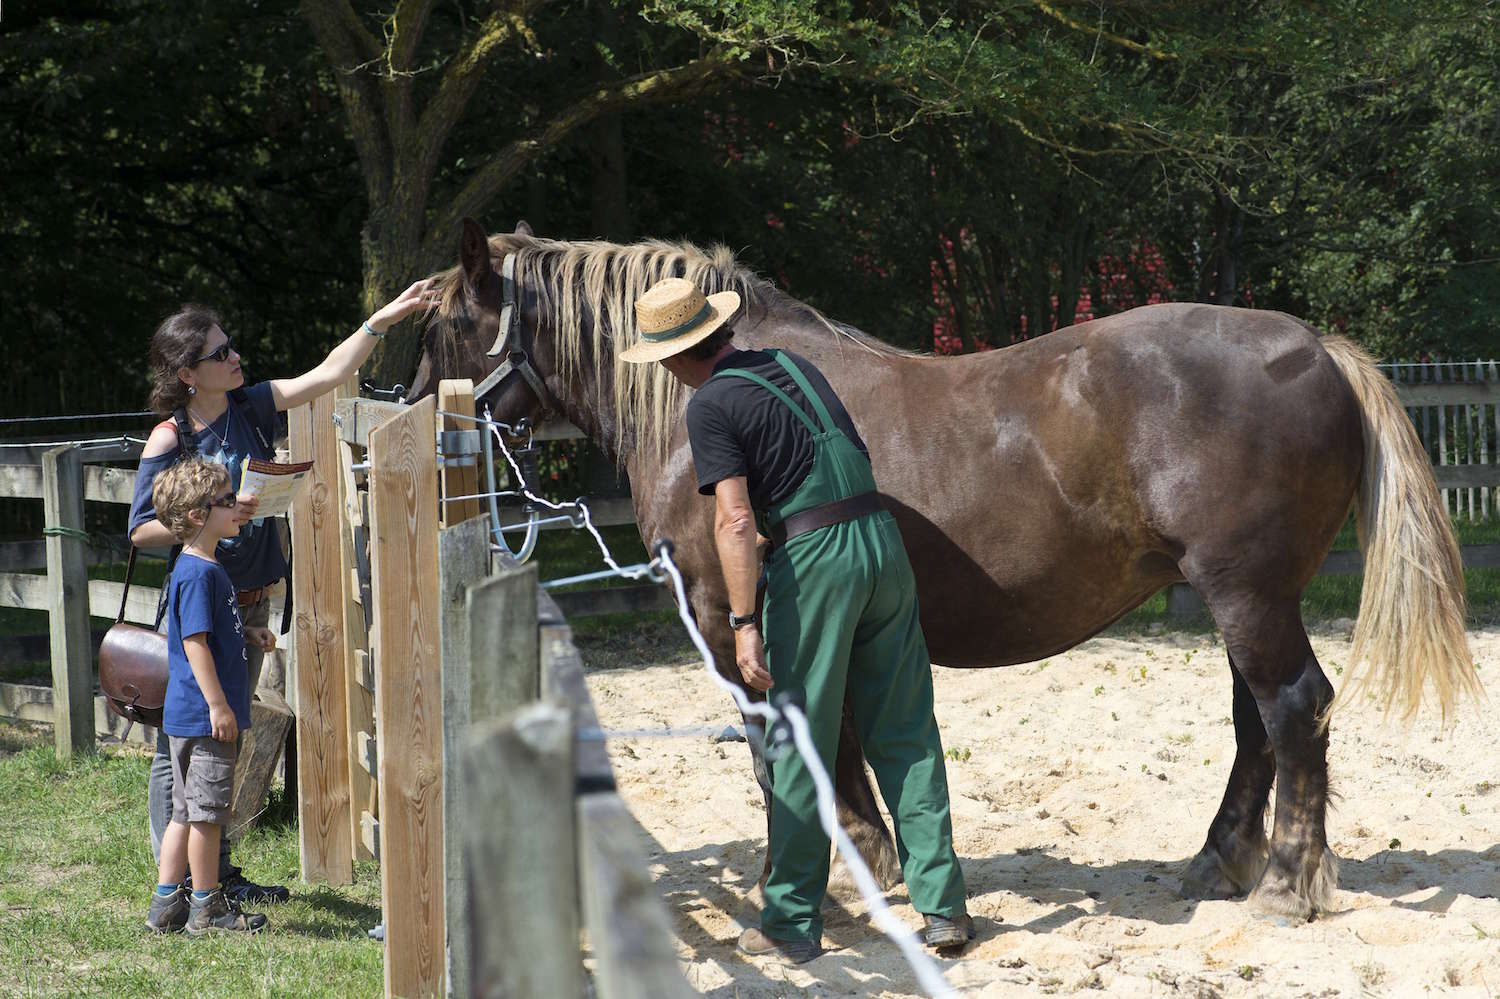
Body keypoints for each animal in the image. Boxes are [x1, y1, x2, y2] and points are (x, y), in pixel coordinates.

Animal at [411, 217, 1476, 918]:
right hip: (1246, 596)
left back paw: (1289, 882)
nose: (419, 433)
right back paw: (1220, 863)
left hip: (1247, 594)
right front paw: (870, 864)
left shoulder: (731, 620)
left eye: (445, 328)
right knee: (1259, 721)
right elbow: (832, 734)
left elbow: (788, 742)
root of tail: (1317, 346)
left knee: (1292, 708)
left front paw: (839, 871)